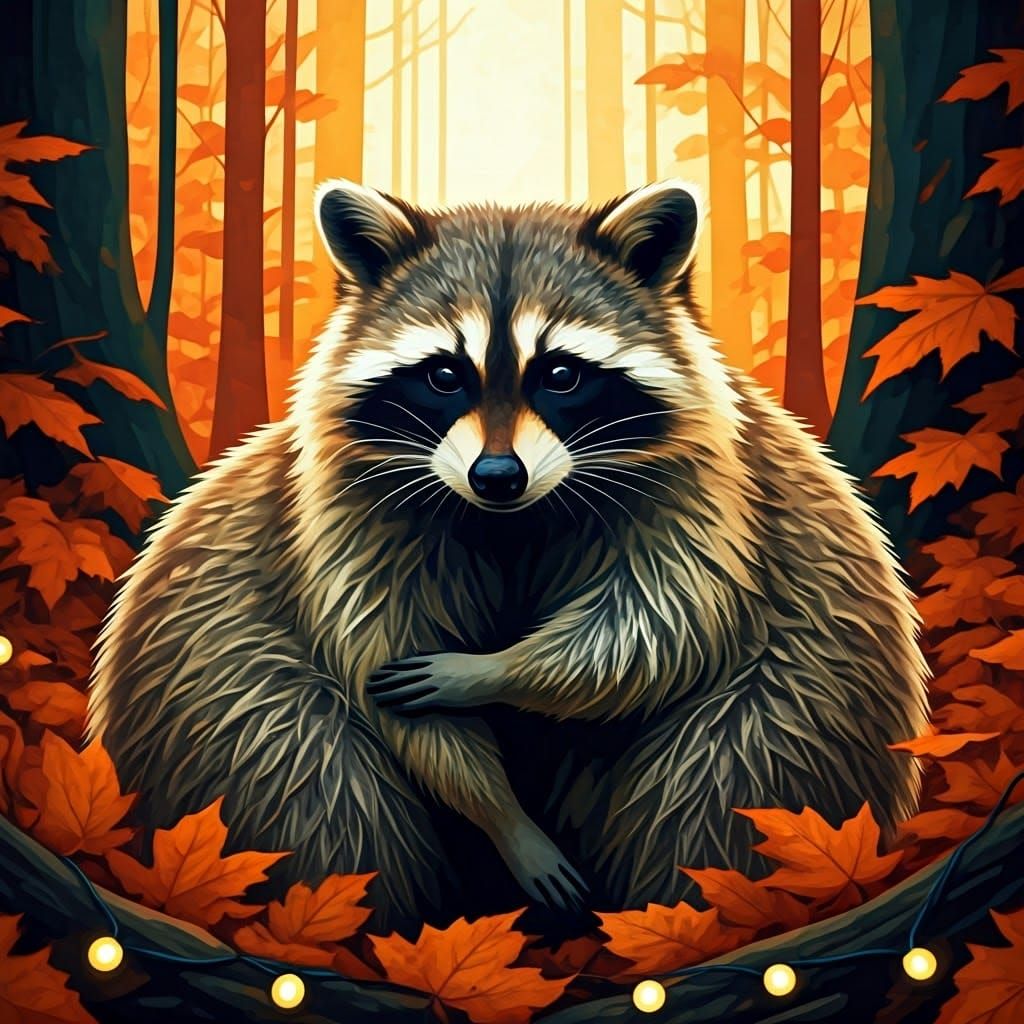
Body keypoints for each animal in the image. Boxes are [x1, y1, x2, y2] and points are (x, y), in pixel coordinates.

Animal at [88, 179, 929, 927]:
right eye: (442, 374)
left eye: (560, 374)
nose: (497, 476)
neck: (512, 519)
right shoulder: (343, 510)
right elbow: (377, 664)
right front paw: (502, 816)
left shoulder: (708, 490)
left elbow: (656, 626)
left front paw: (492, 671)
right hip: (217, 691)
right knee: (311, 781)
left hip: (805, 709)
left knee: (723, 783)